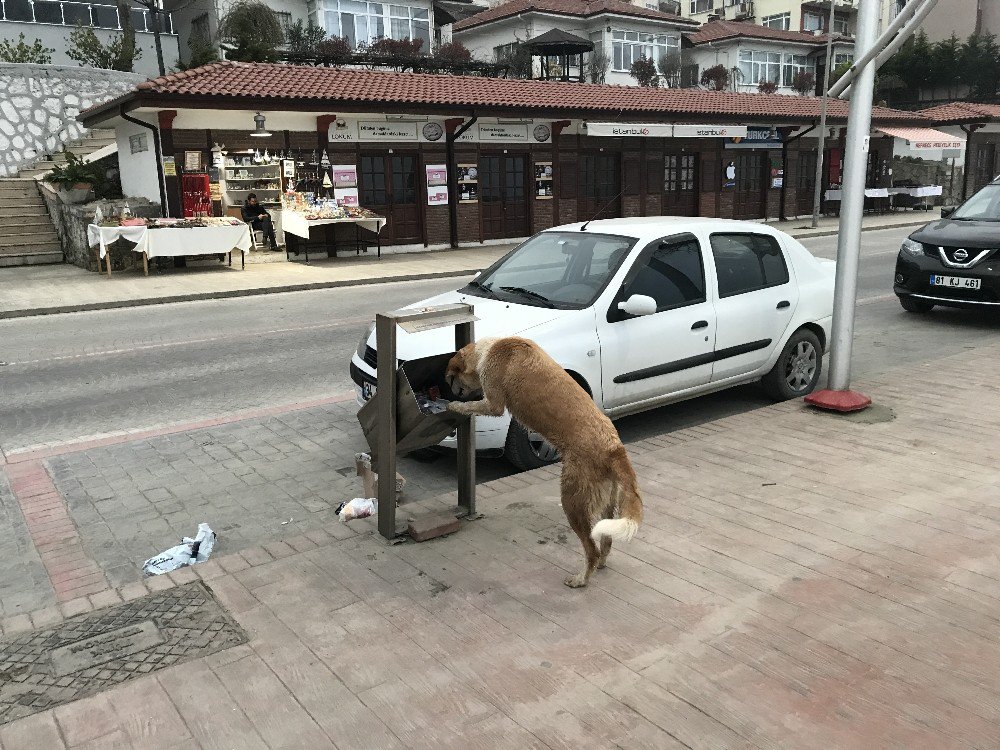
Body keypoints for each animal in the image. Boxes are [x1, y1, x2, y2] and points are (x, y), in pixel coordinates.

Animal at [444, 338, 640, 592]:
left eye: (450, 379)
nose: (449, 392)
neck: (489, 349)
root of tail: (615, 449)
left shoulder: (493, 404)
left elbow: (471, 406)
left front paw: (454, 406)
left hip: (573, 502)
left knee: (592, 550)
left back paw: (581, 579)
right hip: (606, 502)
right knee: (606, 542)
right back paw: (600, 566)